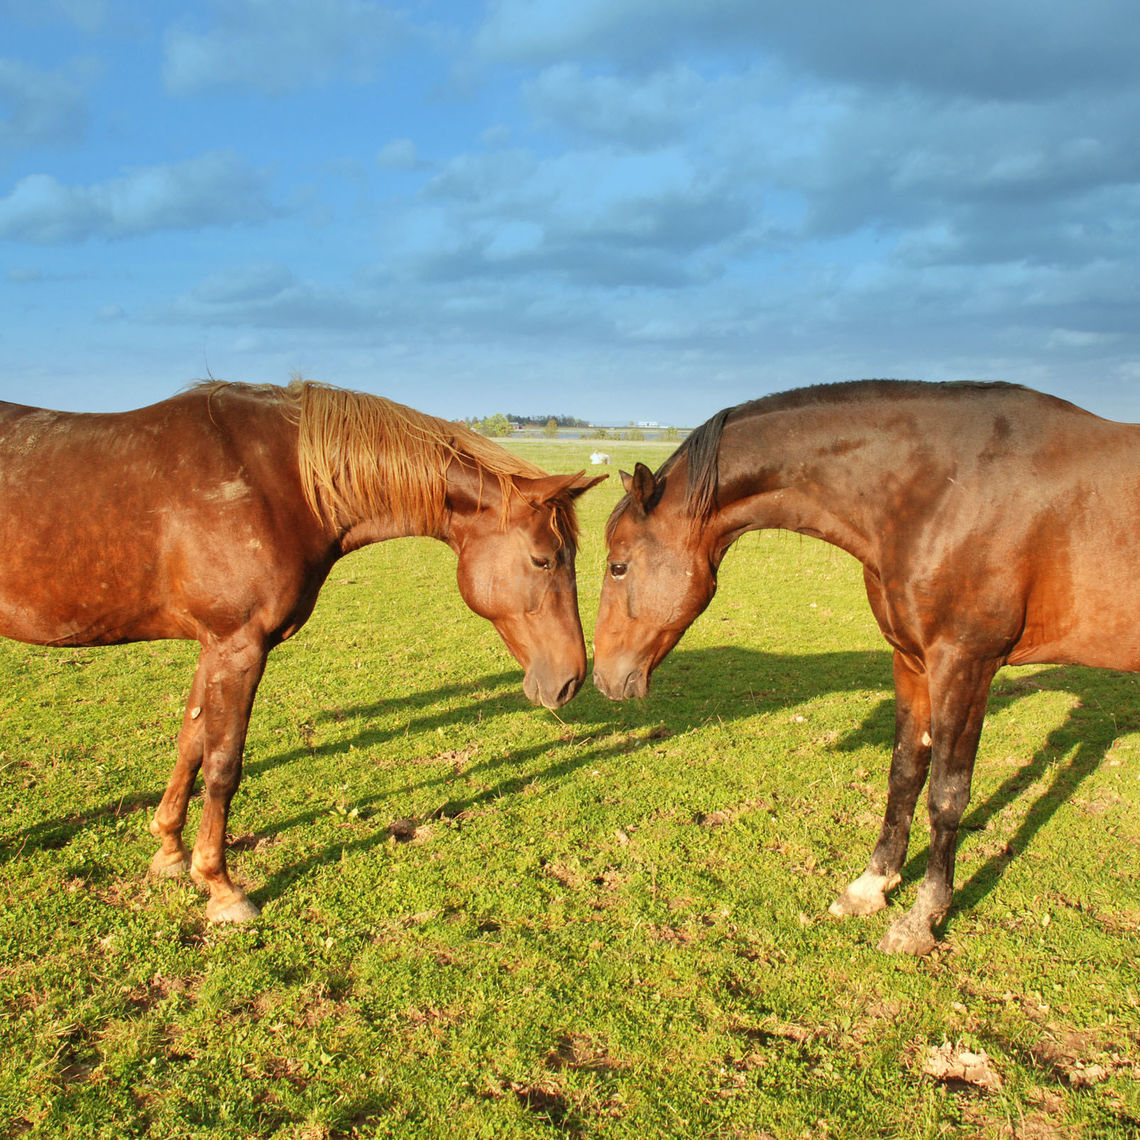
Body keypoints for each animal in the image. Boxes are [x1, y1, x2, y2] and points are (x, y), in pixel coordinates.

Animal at [0, 378, 606, 921]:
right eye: (543, 560)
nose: (571, 679)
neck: (276, 482)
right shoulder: (238, 647)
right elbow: (223, 764)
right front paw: (221, 886)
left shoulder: (213, 646)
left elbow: (191, 743)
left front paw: (169, 851)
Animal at [592, 380, 1135, 953]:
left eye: (618, 566)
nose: (603, 678)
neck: (945, 490)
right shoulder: (913, 663)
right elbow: (904, 774)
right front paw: (872, 886)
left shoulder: (965, 665)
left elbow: (947, 795)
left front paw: (921, 918)